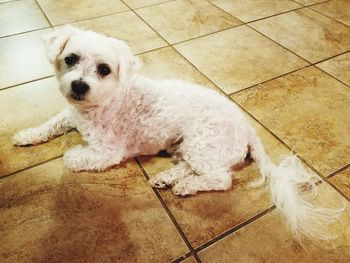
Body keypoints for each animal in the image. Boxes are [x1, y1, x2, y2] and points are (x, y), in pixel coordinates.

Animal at [13, 25, 342, 244]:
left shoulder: (107, 151)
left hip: (202, 144)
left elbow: (74, 157)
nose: (79, 86)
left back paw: (186, 187)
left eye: (104, 69)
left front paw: (70, 154)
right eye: (70, 59)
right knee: (189, 167)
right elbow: (48, 125)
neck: (99, 104)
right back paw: (167, 179)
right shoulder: (68, 116)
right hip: (184, 147)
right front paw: (26, 135)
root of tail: (247, 127)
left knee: (220, 178)